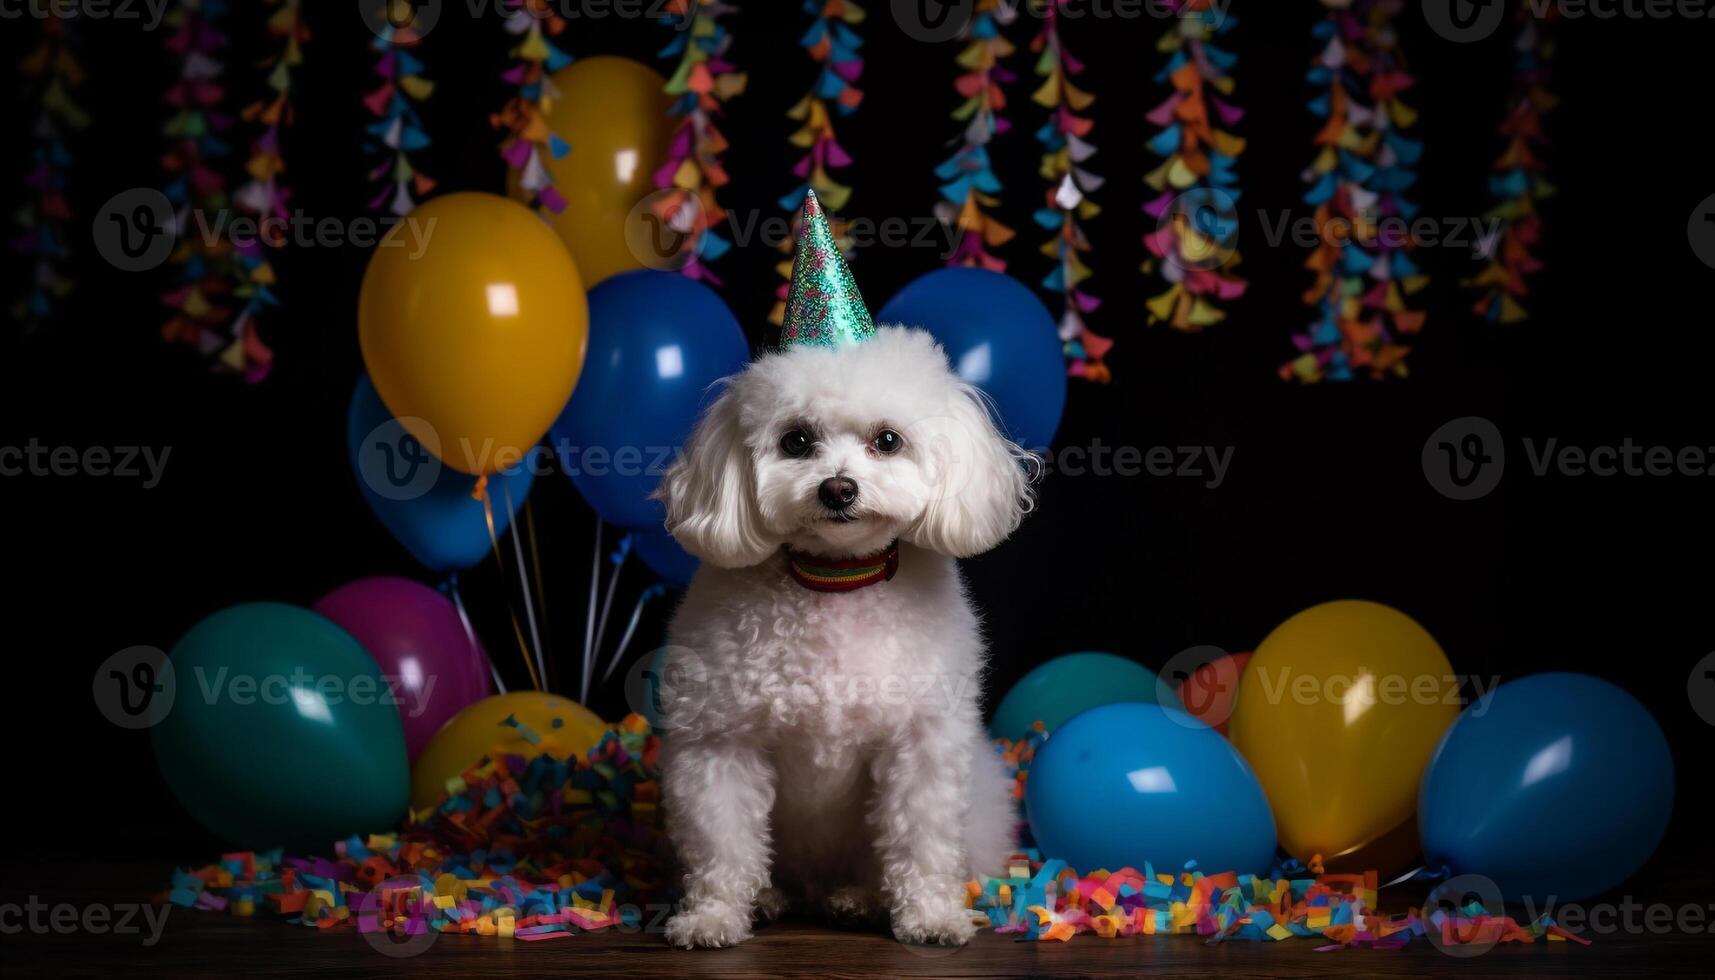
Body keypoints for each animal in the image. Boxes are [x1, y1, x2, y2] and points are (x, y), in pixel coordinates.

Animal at [651, 329, 1029, 954]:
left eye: (888, 440)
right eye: (796, 440)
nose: (837, 488)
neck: (835, 580)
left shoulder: (921, 746)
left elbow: (922, 840)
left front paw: (930, 915)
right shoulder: (721, 746)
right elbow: (723, 846)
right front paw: (713, 917)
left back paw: (861, 898)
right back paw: (769, 898)